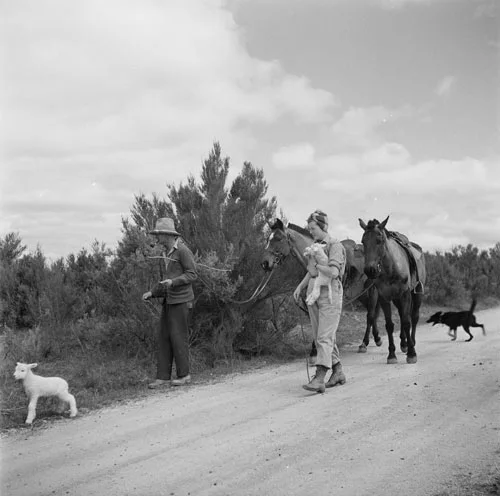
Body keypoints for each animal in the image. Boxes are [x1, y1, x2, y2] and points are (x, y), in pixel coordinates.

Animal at [260, 219, 388, 354]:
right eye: (268, 239)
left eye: (278, 238)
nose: (265, 263)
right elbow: (314, 322)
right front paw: (314, 349)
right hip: (361, 294)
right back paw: (376, 338)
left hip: (372, 290)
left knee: (370, 315)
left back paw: (365, 343)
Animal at [360, 215, 426, 362]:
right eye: (363, 241)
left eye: (379, 241)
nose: (370, 270)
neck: (391, 268)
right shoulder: (384, 297)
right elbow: (389, 325)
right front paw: (391, 354)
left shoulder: (405, 294)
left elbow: (407, 322)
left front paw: (412, 354)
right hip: (395, 298)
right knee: (401, 314)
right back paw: (404, 343)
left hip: (417, 294)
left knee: (413, 317)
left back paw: (411, 342)